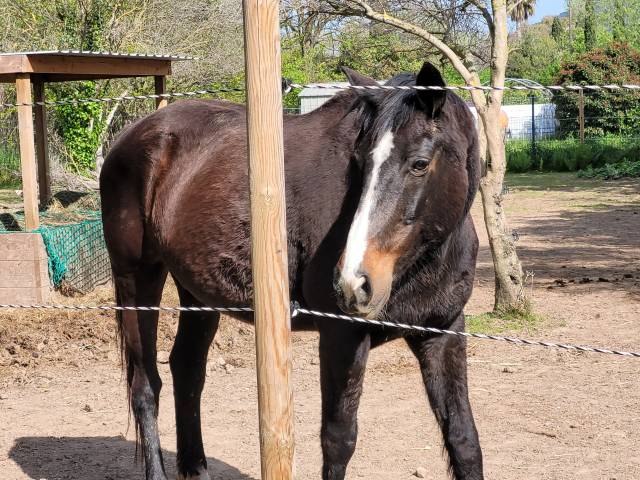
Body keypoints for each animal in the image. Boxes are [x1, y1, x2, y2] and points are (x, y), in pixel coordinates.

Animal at [100, 62, 483, 480]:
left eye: (419, 163)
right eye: (360, 162)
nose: (354, 282)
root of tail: (130, 137)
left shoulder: (442, 332)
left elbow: (463, 439)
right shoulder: (341, 335)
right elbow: (338, 440)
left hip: (197, 294)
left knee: (187, 369)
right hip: (137, 278)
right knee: (144, 386)